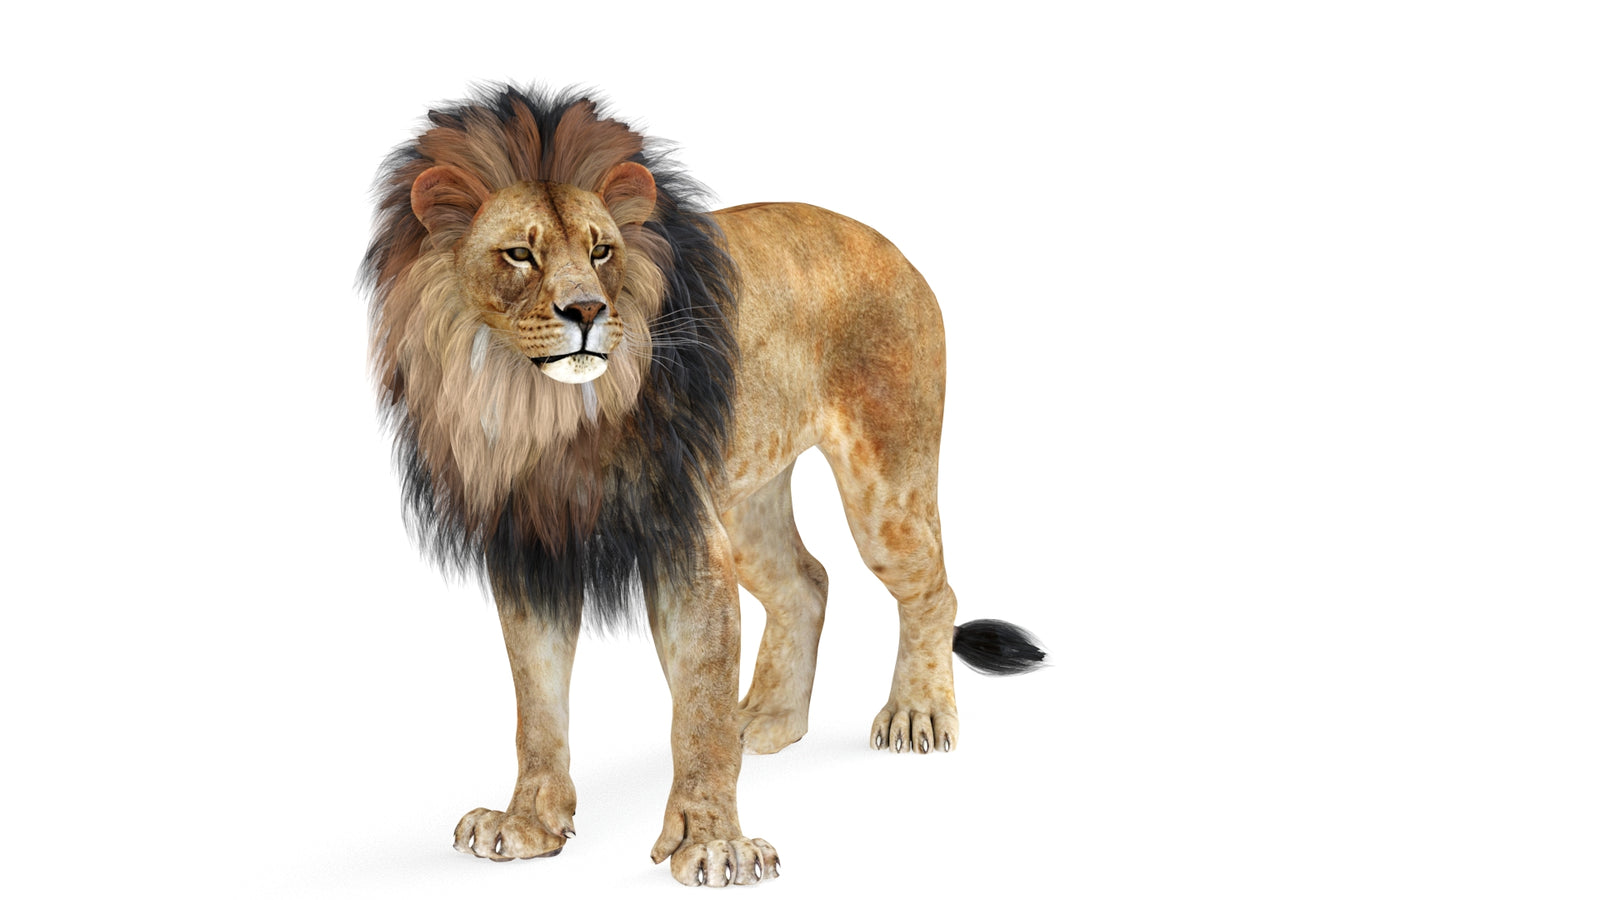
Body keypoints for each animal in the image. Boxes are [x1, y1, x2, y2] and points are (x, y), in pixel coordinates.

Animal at [362, 86, 1046, 887]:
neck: (544, 412)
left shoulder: (684, 541)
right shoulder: (534, 550)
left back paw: (918, 711)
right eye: (520, 254)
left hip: (884, 489)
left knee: (933, 591)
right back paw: (769, 720)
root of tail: (891, 247)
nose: (588, 311)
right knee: (807, 582)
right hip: (745, 500)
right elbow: (538, 705)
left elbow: (698, 711)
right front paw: (527, 822)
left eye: (601, 250)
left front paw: (714, 842)